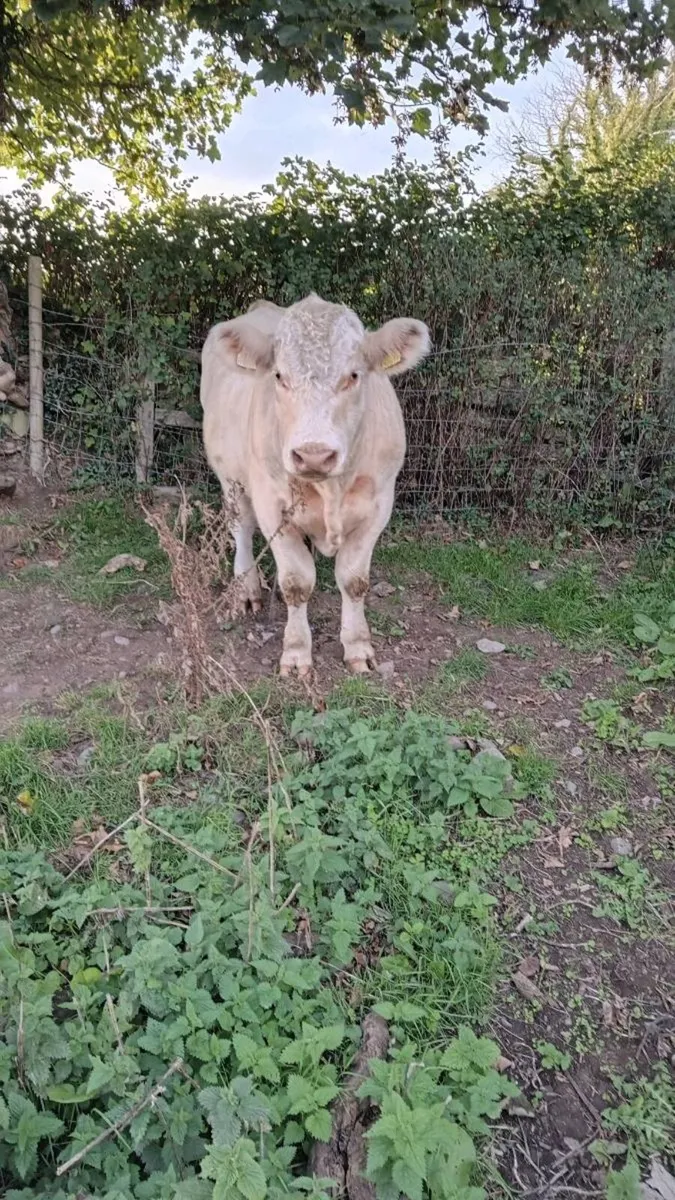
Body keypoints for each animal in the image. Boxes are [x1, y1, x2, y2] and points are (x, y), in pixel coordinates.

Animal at [200, 293, 430, 676]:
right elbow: (296, 582)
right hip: (230, 476)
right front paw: (296, 653)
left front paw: (357, 646)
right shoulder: (271, 504)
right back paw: (247, 589)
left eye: (353, 375)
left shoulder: (379, 504)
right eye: (280, 375)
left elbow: (354, 581)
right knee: (241, 528)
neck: (331, 489)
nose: (313, 456)